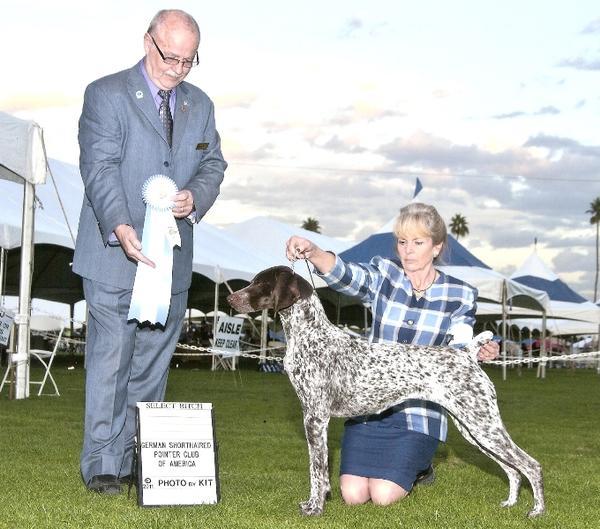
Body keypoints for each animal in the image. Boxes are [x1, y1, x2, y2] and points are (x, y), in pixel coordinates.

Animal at [227, 264, 548, 516]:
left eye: (261, 283)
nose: (230, 297)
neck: (310, 336)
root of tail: (466, 353)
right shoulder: (313, 418)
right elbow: (318, 469)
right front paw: (312, 503)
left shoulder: (315, 418)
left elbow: (317, 470)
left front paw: (316, 508)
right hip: (473, 428)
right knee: (512, 469)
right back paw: (510, 503)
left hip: (483, 425)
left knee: (530, 465)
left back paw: (537, 511)